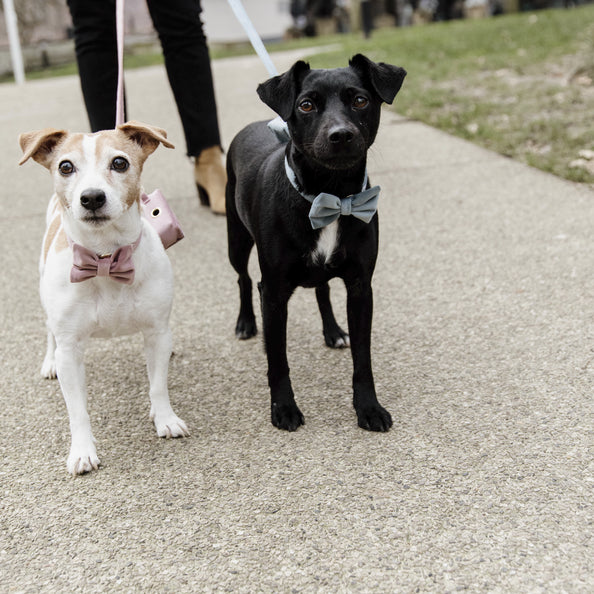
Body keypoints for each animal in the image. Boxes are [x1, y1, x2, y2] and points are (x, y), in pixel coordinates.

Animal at [19, 122, 187, 474]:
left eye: (119, 163)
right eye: (65, 166)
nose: (92, 197)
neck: (106, 257)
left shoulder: (156, 333)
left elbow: (158, 385)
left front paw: (165, 419)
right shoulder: (71, 351)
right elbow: (77, 410)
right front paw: (82, 451)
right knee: (49, 332)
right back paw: (48, 361)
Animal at [224, 54, 404, 430]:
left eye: (360, 100)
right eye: (306, 105)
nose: (340, 135)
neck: (331, 193)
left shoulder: (361, 288)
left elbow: (362, 360)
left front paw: (368, 408)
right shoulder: (273, 293)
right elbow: (278, 361)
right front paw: (283, 408)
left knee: (322, 288)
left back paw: (333, 330)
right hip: (236, 241)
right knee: (243, 279)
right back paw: (246, 323)